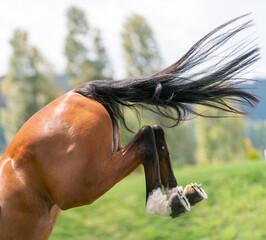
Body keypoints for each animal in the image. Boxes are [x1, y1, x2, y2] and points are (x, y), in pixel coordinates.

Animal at [0, 15, 258, 238]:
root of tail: (76, 93)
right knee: (155, 131)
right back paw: (179, 197)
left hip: (83, 185)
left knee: (146, 136)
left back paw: (161, 205)